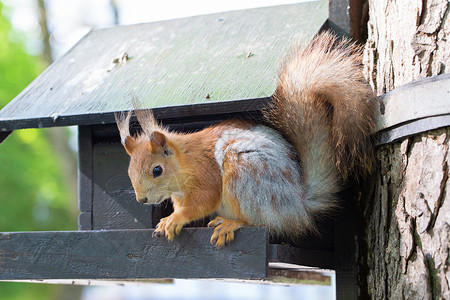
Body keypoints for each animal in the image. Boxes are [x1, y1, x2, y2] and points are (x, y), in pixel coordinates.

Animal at [115, 31, 376, 247]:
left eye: (157, 170)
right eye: (128, 172)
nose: (141, 199)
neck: (183, 163)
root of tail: (298, 205)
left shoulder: (205, 173)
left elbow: (205, 200)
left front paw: (176, 218)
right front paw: (165, 221)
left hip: (246, 173)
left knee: (264, 222)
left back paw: (232, 223)